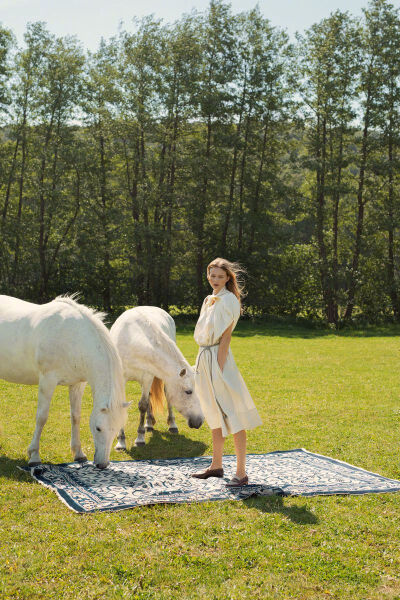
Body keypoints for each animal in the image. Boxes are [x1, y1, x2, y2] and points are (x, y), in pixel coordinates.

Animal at [0, 296, 128, 468]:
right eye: (98, 428)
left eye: (116, 430)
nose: (102, 464)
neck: (72, 337)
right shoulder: (47, 381)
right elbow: (42, 417)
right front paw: (34, 456)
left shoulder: (77, 384)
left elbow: (76, 416)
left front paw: (79, 453)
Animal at [109, 308, 203, 448]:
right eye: (188, 391)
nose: (199, 421)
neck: (131, 341)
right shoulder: (120, 379)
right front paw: (121, 442)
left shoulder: (147, 377)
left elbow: (143, 405)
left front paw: (140, 438)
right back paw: (148, 423)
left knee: (164, 396)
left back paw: (172, 425)